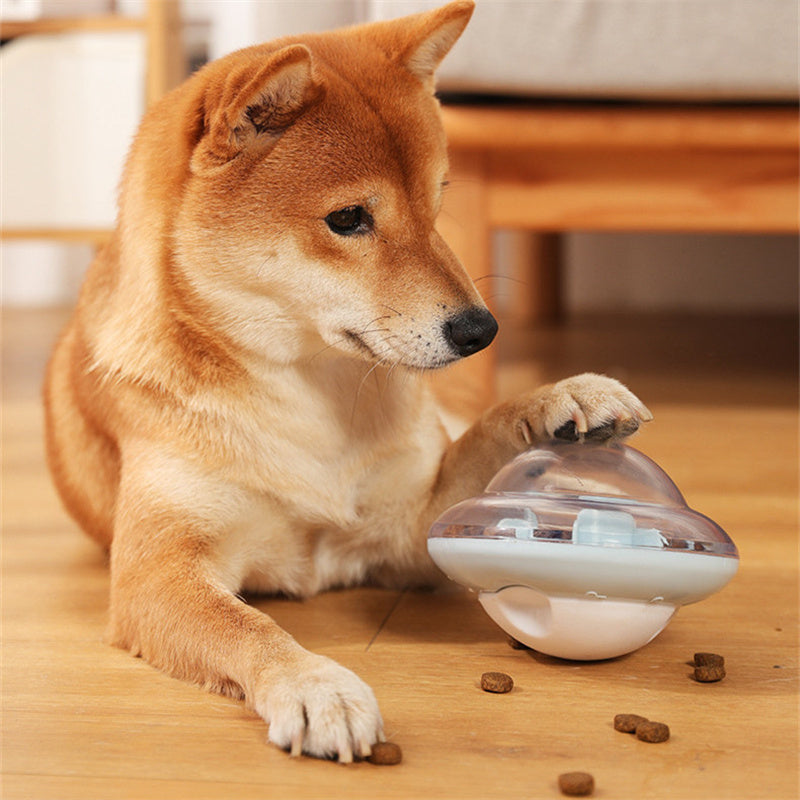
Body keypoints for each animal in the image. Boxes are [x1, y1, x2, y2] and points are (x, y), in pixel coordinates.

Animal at [45, 0, 648, 764]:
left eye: (436, 200)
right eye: (348, 219)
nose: (481, 329)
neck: (309, 394)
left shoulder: (411, 530)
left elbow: (480, 443)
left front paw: (556, 399)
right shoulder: (159, 573)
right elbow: (247, 626)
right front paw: (314, 684)